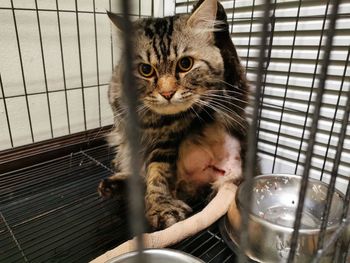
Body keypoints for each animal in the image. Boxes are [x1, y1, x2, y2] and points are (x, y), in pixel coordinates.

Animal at [98, 0, 250, 230]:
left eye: (185, 64)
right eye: (145, 70)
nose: (167, 93)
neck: (152, 121)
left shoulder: (166, 144)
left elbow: (157, 174)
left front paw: (161, 207)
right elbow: (147, 173)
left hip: (233, 102)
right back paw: (113, 185)